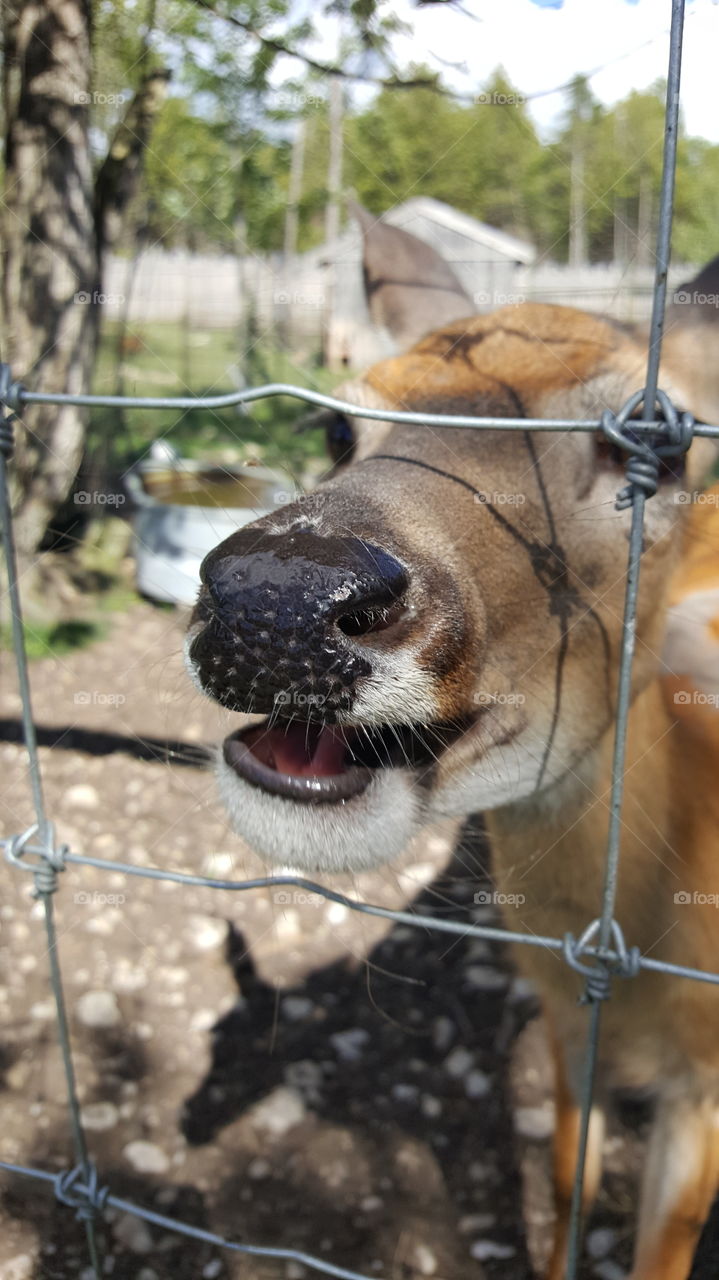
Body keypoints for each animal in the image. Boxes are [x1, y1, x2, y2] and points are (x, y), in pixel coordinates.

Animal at [185, 211, 719, 1279]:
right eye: (336, 428)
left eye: (659, 445)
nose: (275, 597)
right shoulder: (562, 1004)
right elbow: (564, 1185)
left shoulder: (708, 1084)